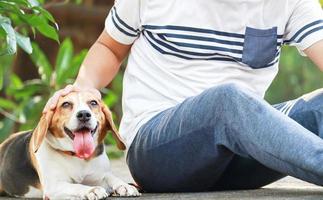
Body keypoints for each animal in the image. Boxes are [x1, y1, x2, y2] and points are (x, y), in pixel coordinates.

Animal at [0, 91, 140, 199]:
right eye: (66, 104)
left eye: (93, 103)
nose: (84, 114)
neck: (77, 157)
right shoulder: (54, 186)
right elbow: (76, 186)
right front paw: (91, 190)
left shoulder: (99, 175)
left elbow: (111, 177)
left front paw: (124, 185)